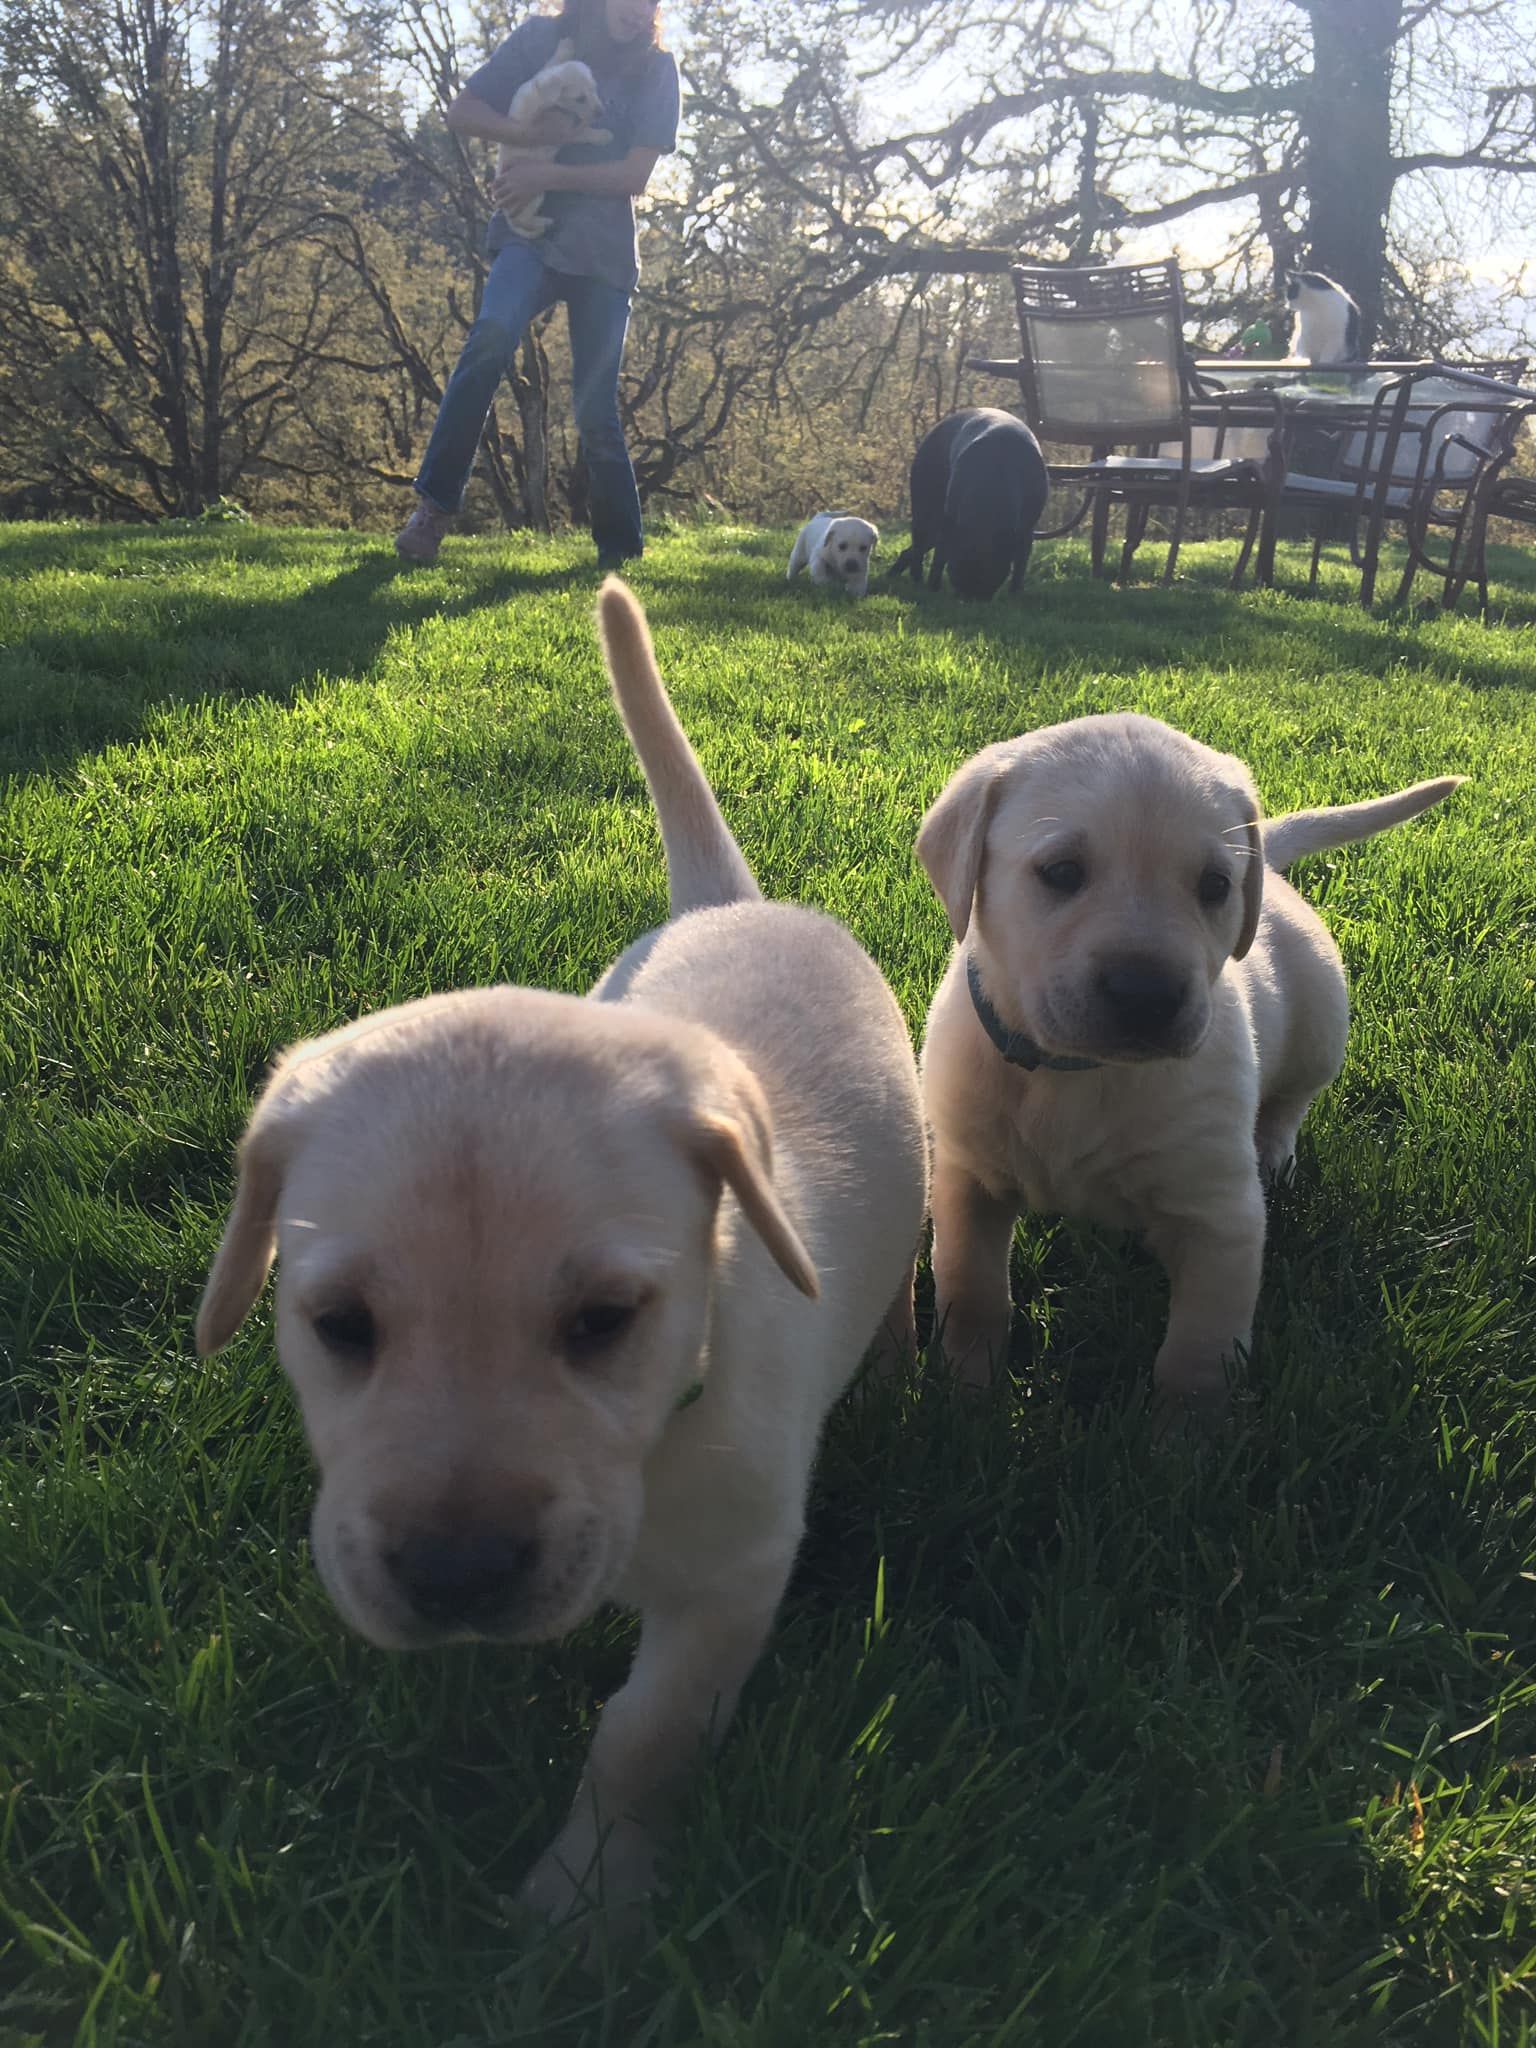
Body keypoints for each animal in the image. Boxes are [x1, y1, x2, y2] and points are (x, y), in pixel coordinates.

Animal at [196, 581, 928, 1926]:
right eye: (339, 1326)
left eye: (602, 1320)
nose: (459, 1571)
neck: (670, 1413)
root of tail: (730, 902)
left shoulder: (735, 1575)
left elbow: (643, 1733)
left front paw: (586, 1904)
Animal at [495, 43, 611, 239]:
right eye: (580, 98)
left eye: (594, 88)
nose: (601, 112)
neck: (541, 95)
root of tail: (506, 214)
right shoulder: (565, 132)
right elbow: (586, 132)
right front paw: (604, 136)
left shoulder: (540, 75)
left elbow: (550, 63)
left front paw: (566, 46)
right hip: (532, 195)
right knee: (523, 220)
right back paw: (544, 222)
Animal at [887, 409, 1049, 600]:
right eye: (957, 574)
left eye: (991, 579)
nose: (970, 600)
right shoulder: (949, 526)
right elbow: (938, 561)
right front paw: (932, 589)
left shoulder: (1025, 533)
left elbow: (1020, 568)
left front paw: (1014, 595)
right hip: (925, 512)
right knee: (919, 544)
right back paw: (914, 579)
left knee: (913, 550)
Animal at [914, 711, 1461, 1409]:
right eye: (1061, 872)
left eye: (1215, 886)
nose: (1146, 995)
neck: (1080, 1074)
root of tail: (1270, 854)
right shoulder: (968, 1181)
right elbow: (973, 1289)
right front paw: (967, 1390)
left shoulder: (1220, 1219)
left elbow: (1199, 1349)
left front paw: (1185, 1431)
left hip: (1321, 1025)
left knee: (1291, 1101)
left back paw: (1275, 1150)